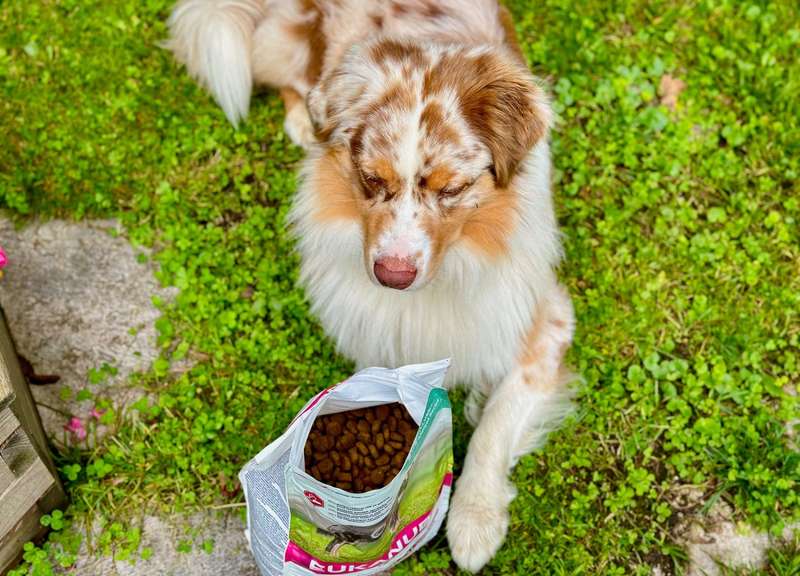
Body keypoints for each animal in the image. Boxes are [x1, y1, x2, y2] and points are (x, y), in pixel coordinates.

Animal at [167, 0, 576, 568]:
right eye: (371, 179)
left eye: (452, 189)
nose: (392, 276)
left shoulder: (543, 318)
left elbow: (496, 422)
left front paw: (474, 521)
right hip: (280, 46)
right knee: (289, 80)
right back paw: (303, 121)